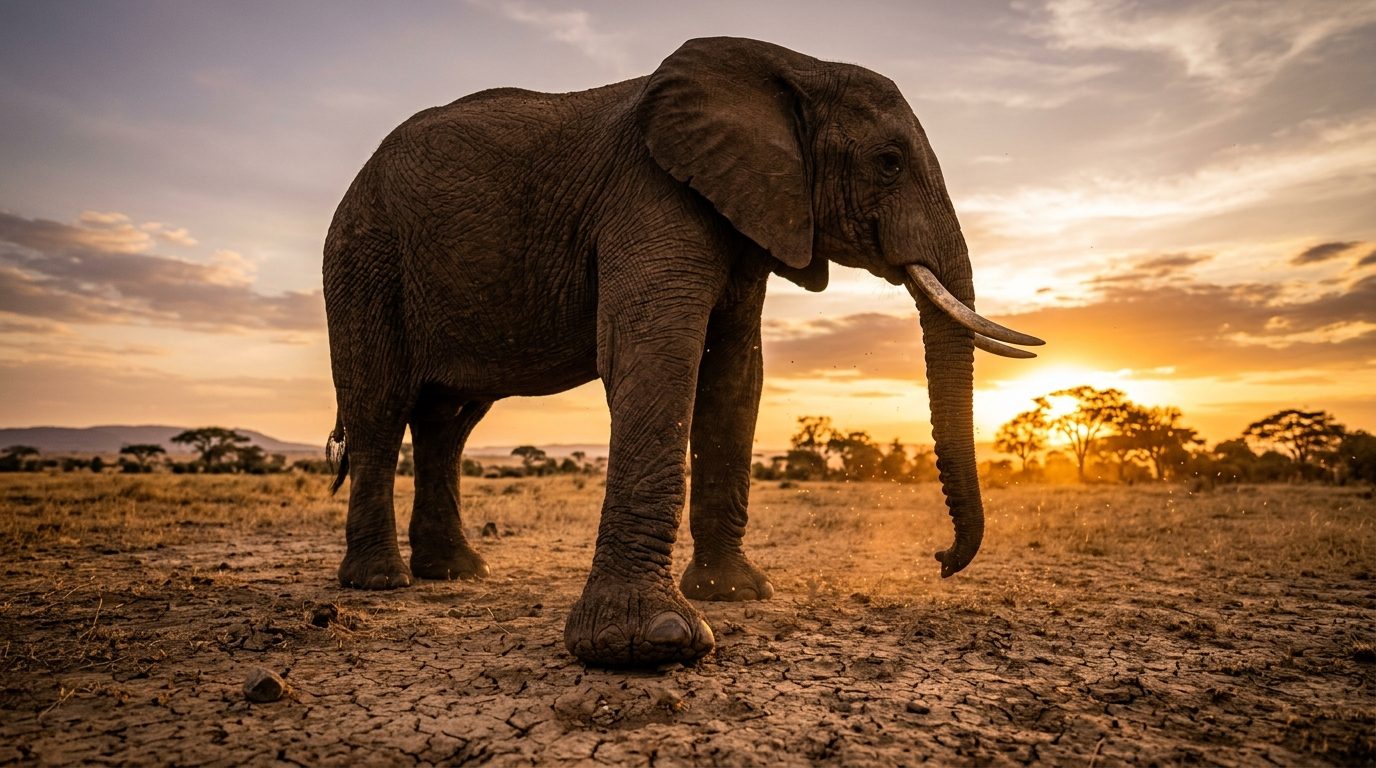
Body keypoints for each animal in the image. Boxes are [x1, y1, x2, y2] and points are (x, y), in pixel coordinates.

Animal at [322, 37, 1042, 667]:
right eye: (889, 161)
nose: (941, 561)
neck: (795, 67)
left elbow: (736, 377)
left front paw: (737, 594)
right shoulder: (650, 196)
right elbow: (654, 353)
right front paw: (650, 644)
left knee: (448, 424)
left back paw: (455, 574)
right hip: (364, 258)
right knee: (380, 410)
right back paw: (380, 583)